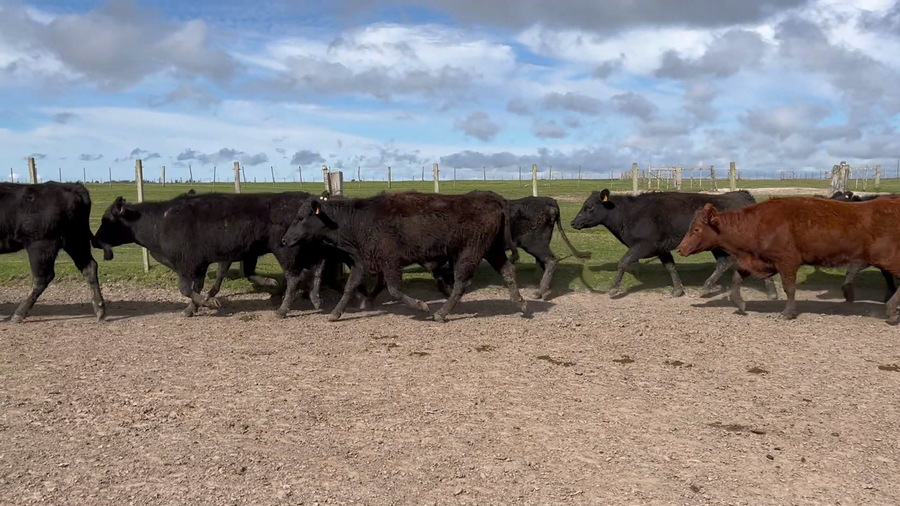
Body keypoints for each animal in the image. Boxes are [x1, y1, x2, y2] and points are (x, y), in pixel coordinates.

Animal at [0, 182, 106, 323]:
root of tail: (72, 186)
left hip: (42, 245)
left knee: (43, 277)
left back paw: (19, 313)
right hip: (76, 240)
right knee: (89, 267)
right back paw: (99, 308)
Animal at [94, 191, 336, 317]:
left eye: (107, 219)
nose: (94, 240)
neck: (160, 221)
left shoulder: (187, 264)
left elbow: (186, 289)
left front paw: (208, 303)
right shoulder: (201, 264)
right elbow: (198, 287)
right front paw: (192, 307)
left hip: (286, 249)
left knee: (294, 276)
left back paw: (283, 308)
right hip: (309, 248)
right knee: (317, 267)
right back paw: (314, 298)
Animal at [280, 190, 529, 323]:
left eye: (300, 218)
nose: (284, 240)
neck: (358, 220)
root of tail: (490, 197)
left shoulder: (390, 262)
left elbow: (394, 290)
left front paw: (421, 306)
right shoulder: (362, 261)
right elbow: (350, 287)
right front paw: (336, 313)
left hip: (471, 252)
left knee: (461, 283)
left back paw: (441, 313)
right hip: (493, 250)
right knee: (508, 271)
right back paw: (521, 304)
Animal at [571, 189, 777, 299]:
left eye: (590, 207)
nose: (573, 222)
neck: (628, 214)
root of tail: (740, 195)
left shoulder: (644, 245)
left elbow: (623, 262)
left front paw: (614, 289)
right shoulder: (661, 248)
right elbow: (670, 267)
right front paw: (678, 289)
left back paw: (771, 292)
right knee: (724, 263)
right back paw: (708, 287)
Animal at [675, 196, 900, 322]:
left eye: (697, 229)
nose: (680, 249)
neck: (756, 224)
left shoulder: (787, 261)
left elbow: (789, 288)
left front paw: (787, 312)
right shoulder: (760, 261)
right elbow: (737, 278)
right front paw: (739, 302)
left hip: (888, 259)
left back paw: (891, 310)